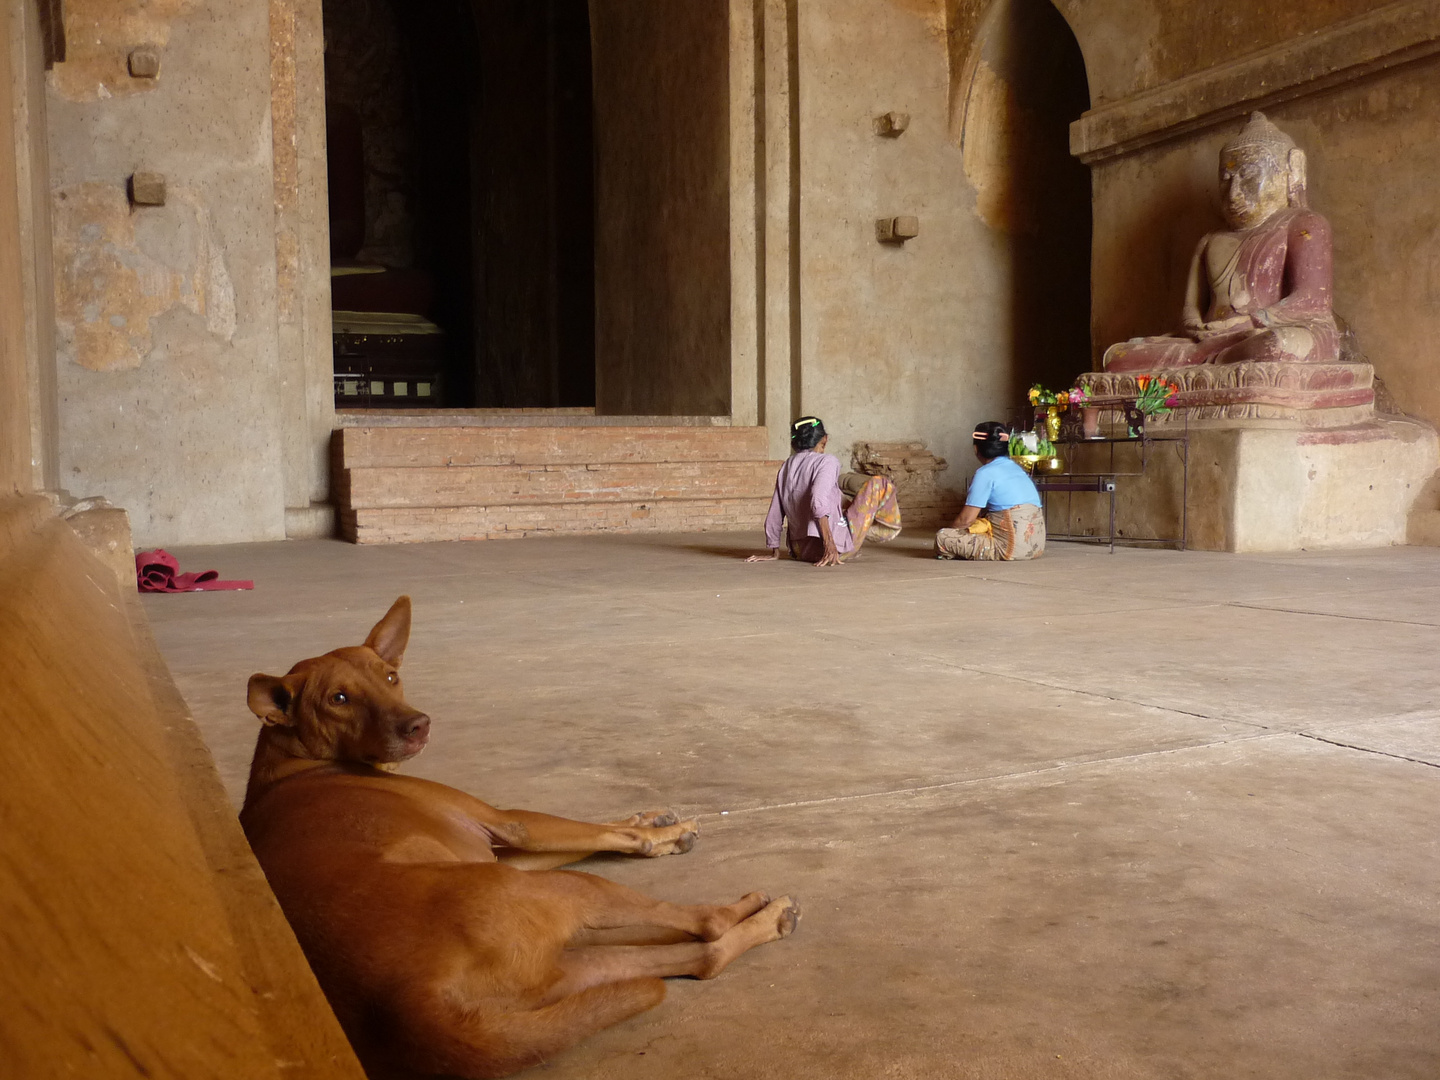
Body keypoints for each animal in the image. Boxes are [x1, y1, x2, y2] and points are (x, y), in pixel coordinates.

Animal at [239, 596, 800, 1077]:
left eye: (392, 677)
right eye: (339, 699)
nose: (419, 725)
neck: (292, 760)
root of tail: (414, 1008)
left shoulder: (494, 851)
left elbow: (599, 834)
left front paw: (654, 825)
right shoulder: (509, 823)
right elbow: (590, 829)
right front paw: (671, 830)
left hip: (554, 975)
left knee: (696, 957)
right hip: (568, 894)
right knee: (704, 929)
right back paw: (763, 913)